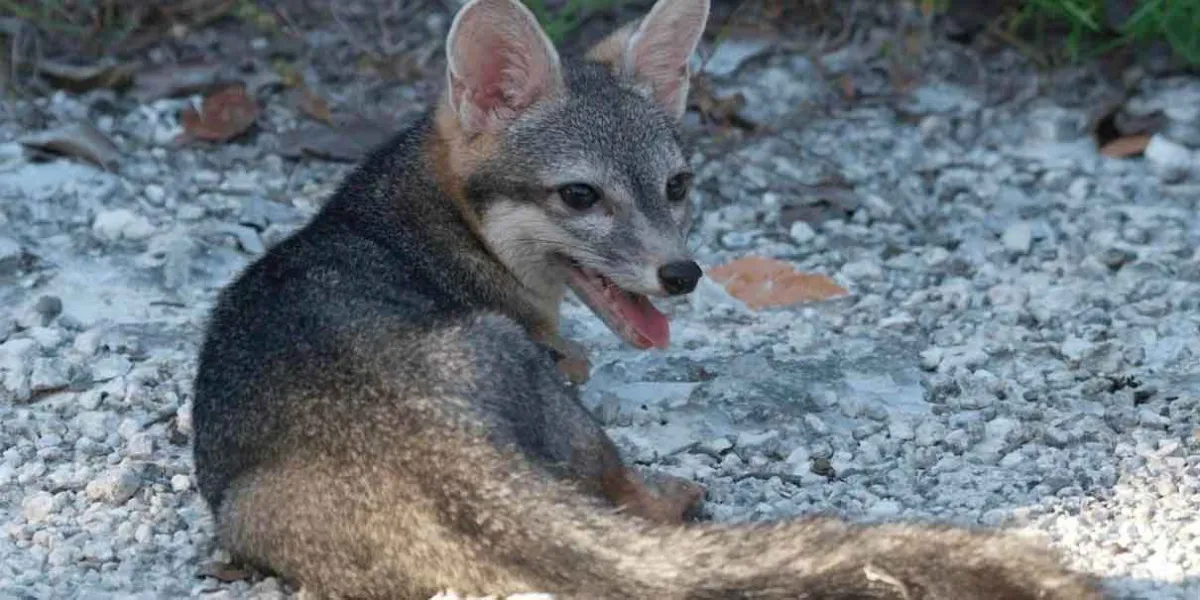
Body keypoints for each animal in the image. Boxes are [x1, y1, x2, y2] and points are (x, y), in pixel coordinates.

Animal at [190, 0, 1108, 598]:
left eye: (676, 185)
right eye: (580, 197)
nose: (682, 273)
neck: (413, 219)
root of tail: (428, 438)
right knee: (626, 496)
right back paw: (674, 495)